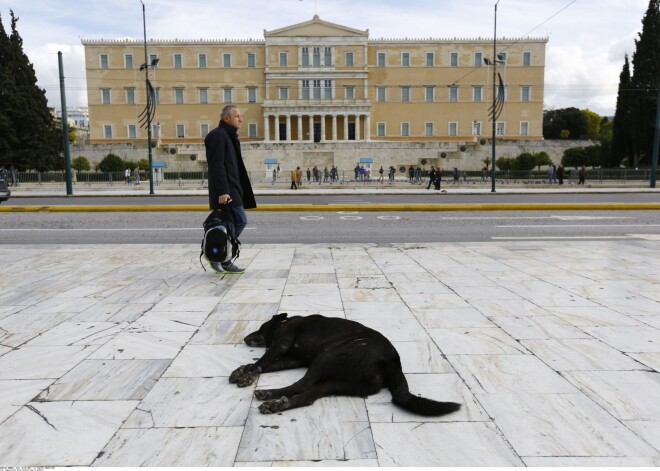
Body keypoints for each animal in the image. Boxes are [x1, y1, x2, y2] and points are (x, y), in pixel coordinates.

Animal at [229, 314, 462, 416]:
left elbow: (262, 362)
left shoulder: (283, 341)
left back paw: (269, 395)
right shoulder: (293, 358)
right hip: (340, 383)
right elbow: (266, 364)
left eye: (261, 328)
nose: (245, 338)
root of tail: (393, 362)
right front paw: (240, 370)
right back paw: (277, 404)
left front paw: (247, 374)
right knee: (308, 396)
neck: (286, 321)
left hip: (326, 358)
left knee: (302, 385)